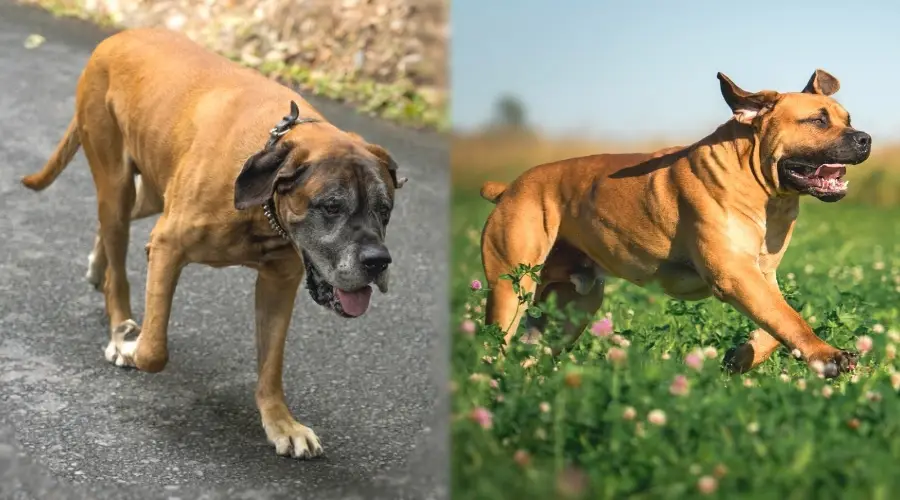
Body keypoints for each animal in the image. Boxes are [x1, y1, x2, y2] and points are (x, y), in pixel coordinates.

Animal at [19, 26, 406, 458]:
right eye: (331, 206)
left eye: (385, 210)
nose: (378, 261)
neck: (261, 205)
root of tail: (117, 36)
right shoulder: (169, 248)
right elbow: (154, 351)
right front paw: (134, 346)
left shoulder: (278, 284)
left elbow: (271, 364)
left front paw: (281, 422)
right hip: (115, 180)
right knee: (117, 261)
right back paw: (119, 325)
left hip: (151, 190)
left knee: (120, 220)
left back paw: (95, 265)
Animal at [486, 68, 872, 376]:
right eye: (818, 121)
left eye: (848, 119)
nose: (865, 139)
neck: (761, 185)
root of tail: (508, 189)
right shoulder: (734, 274)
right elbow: (789, 319)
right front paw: (828, 355)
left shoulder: (761, 276)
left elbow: (779, 323)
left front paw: (740, 357)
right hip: (510, 287)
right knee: (496, 343)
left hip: (574, 307)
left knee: (533, 349)